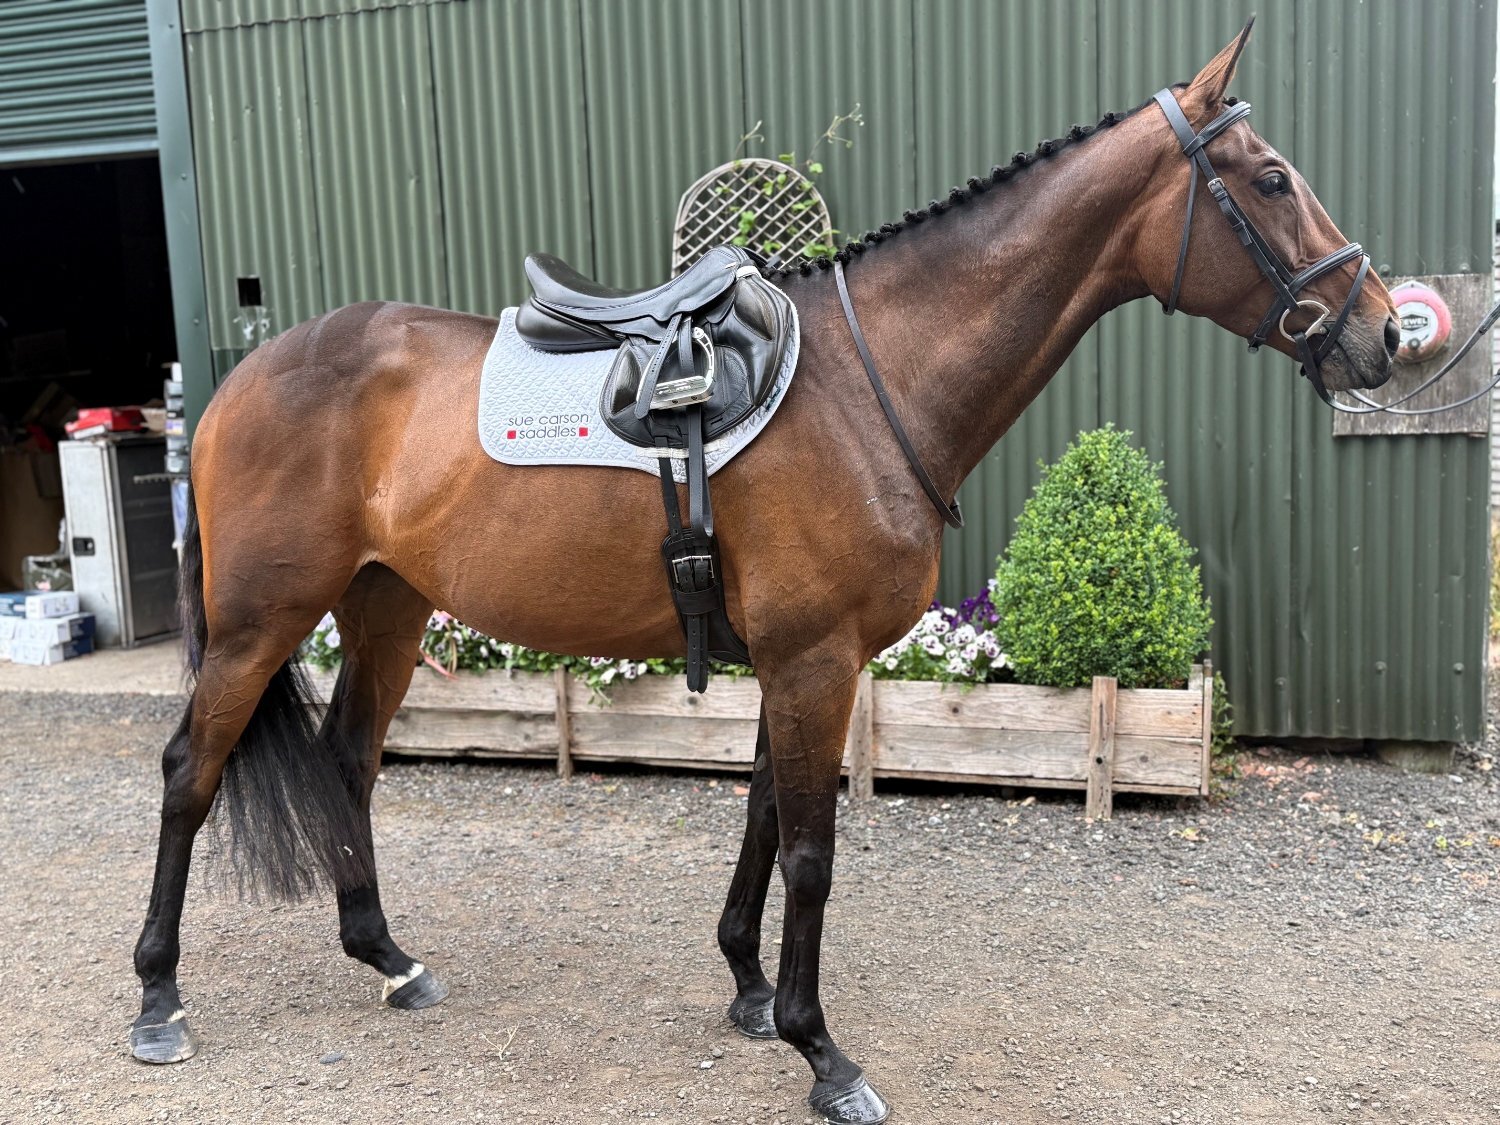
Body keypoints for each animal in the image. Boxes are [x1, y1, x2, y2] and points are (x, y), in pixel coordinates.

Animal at [129, 23, 1397, 1124]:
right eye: (1271, 180)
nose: (1385, 331)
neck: (867, 382)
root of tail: (243, 380)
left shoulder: (799, 660)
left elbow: (763, 815)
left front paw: (747, 990)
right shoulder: (813, 659)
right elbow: (812, 852)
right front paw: (821, 1052)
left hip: (384, 607)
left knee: (347, 762)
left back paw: (388, 957)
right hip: (261, 620)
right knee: (192, 769)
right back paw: (158, 998)